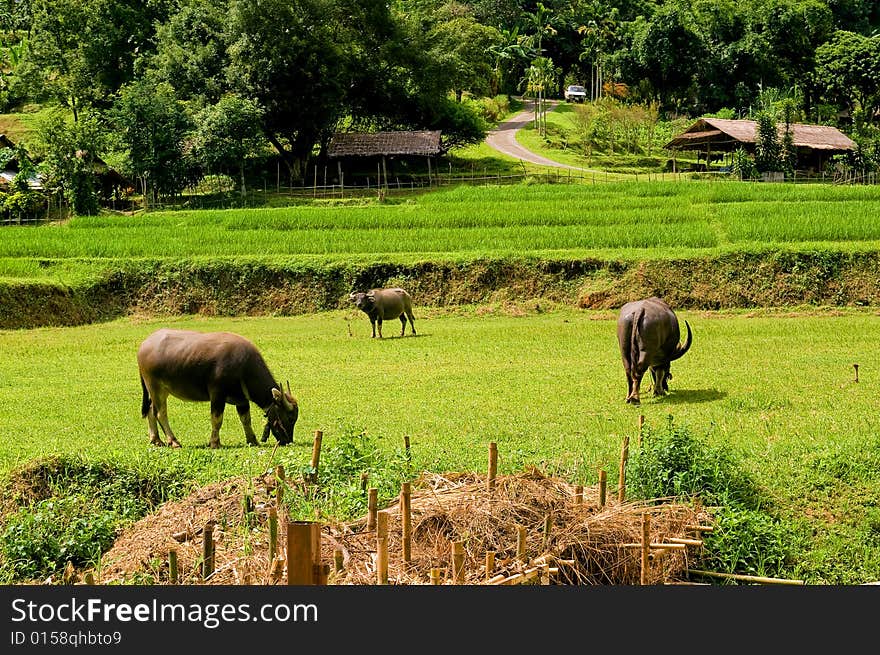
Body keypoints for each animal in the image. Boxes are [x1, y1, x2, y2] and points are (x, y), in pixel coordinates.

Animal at [138, 328, 300, 452]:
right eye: (290, 418)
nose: (287, 441)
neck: (243, 367)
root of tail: (145, 345)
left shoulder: (242, 399)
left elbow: (246, 419)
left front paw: (252, 440)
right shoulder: (217, 395)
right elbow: (217, 419)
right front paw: (215, 442)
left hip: (158, 390)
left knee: (151, 410)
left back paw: (156, 440)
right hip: (155, 387)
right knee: (160, 413)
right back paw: (173, 441)